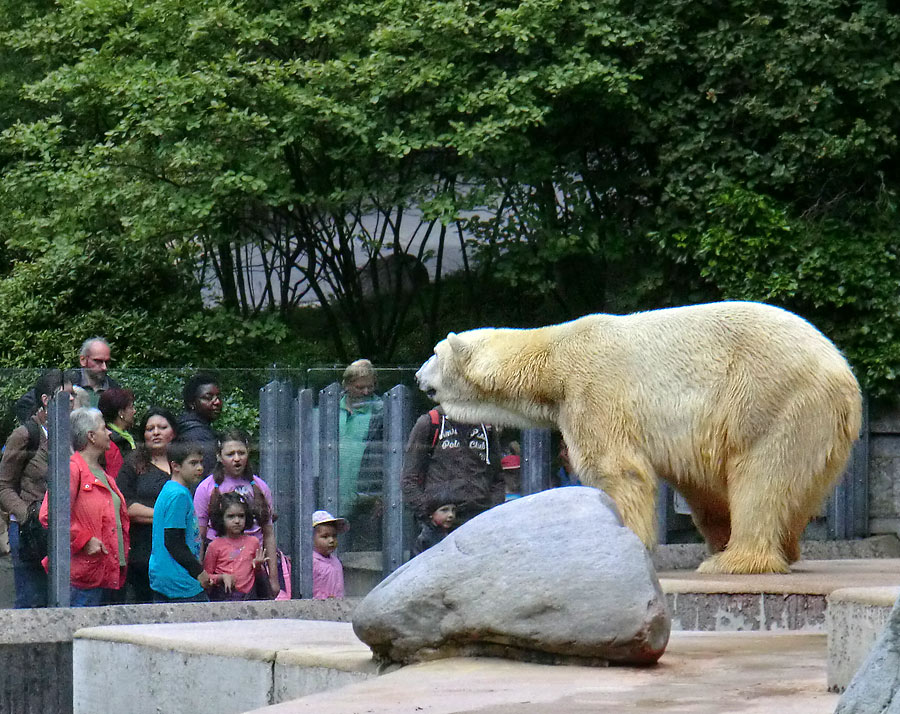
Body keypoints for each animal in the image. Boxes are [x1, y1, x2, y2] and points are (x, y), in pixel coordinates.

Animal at [418, 300, 860, 572]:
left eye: (435, 353)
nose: (419, 376)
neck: (553, 358)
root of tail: (843, 373)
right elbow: (697, 482)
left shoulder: (594, 390)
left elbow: (616, 470)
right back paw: (774, 547)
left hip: (771, 398)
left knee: (761, 475)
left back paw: (735, 560)